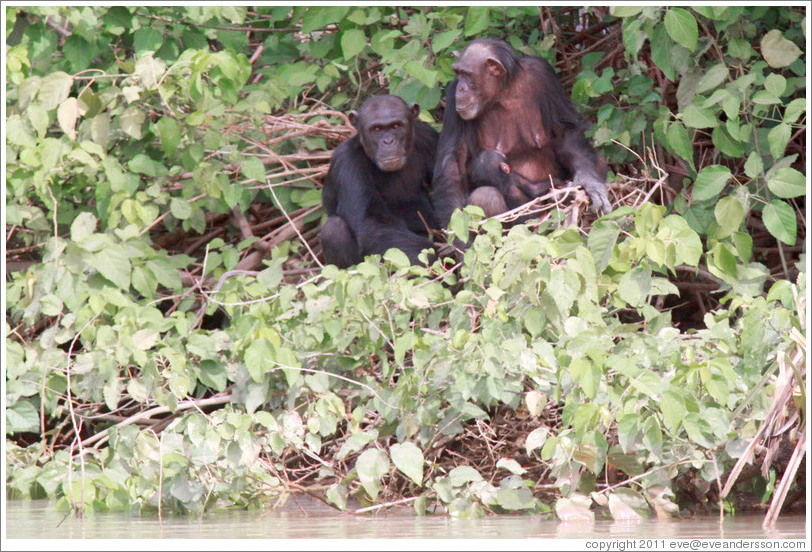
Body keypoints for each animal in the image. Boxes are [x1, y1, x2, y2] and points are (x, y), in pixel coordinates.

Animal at [322, 96, 438, 268]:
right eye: (376, 129)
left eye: (396, 126)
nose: (388, 141)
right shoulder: (347, 163)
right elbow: (373, 223)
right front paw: (432, 257)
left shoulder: (429, 138)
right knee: (334, 229)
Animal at [432, 38, 608, 224]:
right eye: (458, 74)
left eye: (466, 74)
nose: (460, 88)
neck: (503, 93)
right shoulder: (452, 98)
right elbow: (454, 163)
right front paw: (456, 229)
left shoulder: (543, 73)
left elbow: (564, 132)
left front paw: (590, 183)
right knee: (486, 196)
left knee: (598, 158)